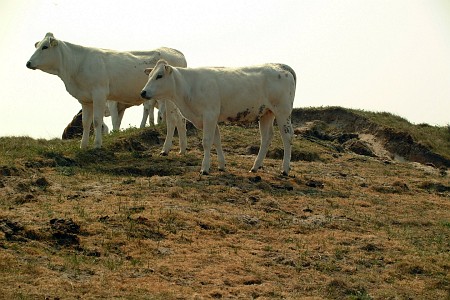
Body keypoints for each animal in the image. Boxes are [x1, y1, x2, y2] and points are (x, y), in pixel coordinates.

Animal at [26, 33, 186, 155]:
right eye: (37, 46)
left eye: (45, 47)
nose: (28, 63)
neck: (76, 65)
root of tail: (177, 53)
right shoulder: (85, 99)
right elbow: (86, 123)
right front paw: (83, 145)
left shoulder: (99, 94)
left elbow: (97, 121)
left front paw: (97, 145)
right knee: (179, 119)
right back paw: (181, 149)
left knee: (172, 119)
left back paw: (166, 149)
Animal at [141, 59, 296, 175]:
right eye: (149, 75)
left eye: (159, 75)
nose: (143, 92)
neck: (188, 87)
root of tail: (280, 66)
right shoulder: (211, 117)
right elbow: (217, 140)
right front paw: (221, 165)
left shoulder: (209, 114)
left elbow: (207, 141)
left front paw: (205, 168)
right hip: (266, 113)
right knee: (266, 137)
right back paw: (255, 167)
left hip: (282, 111)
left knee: (287, 137)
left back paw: (285, 169)